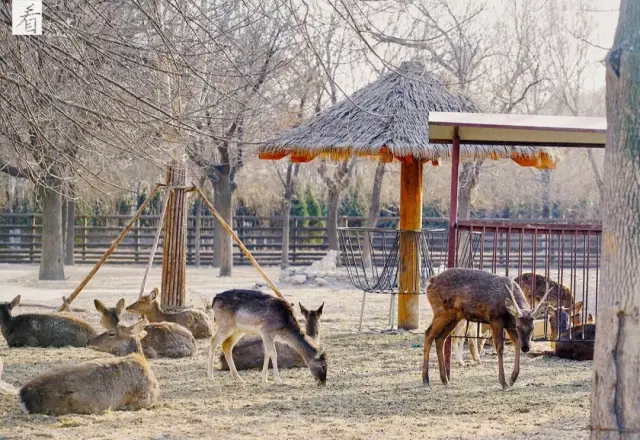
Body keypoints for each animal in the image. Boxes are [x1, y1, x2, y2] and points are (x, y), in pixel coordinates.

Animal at [424, 266, 552, 390]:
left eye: (533, 327)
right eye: (518, 326)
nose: (526, 347)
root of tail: (430, 282)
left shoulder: (509, 325)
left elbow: (517, 343)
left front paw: (512, 379)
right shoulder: (495, 320)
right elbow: (500, 348)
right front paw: (503, 383)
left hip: (454, 316)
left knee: (440, 338)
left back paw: (445, 380)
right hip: (441, 311)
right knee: (428, 334)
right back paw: (426, 380)